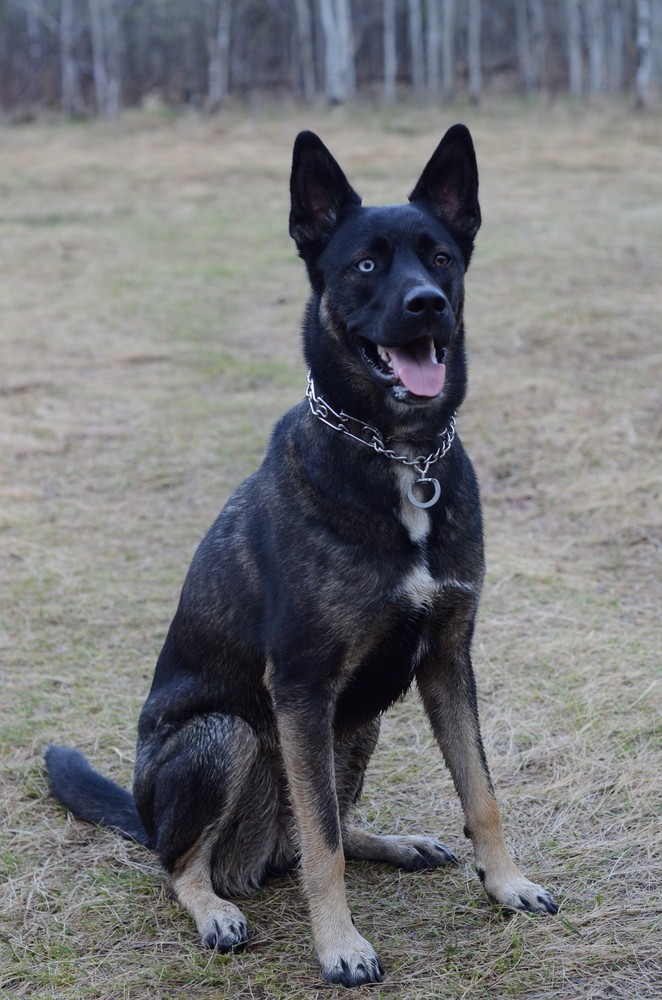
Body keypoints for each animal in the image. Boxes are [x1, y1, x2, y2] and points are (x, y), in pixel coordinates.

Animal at [44, 123, 556, 984]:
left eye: (440, 257)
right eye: (366, 265)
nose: (427, 304)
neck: (396, 455)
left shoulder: (446, 659)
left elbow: (479, 791)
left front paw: (507, 882)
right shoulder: (302, 687)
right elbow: (322, 849)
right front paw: (340, 945)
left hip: (359, 721)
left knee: (319, 830)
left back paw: (393, 842)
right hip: (228, 736)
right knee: (189, 862)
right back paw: (214, 906)